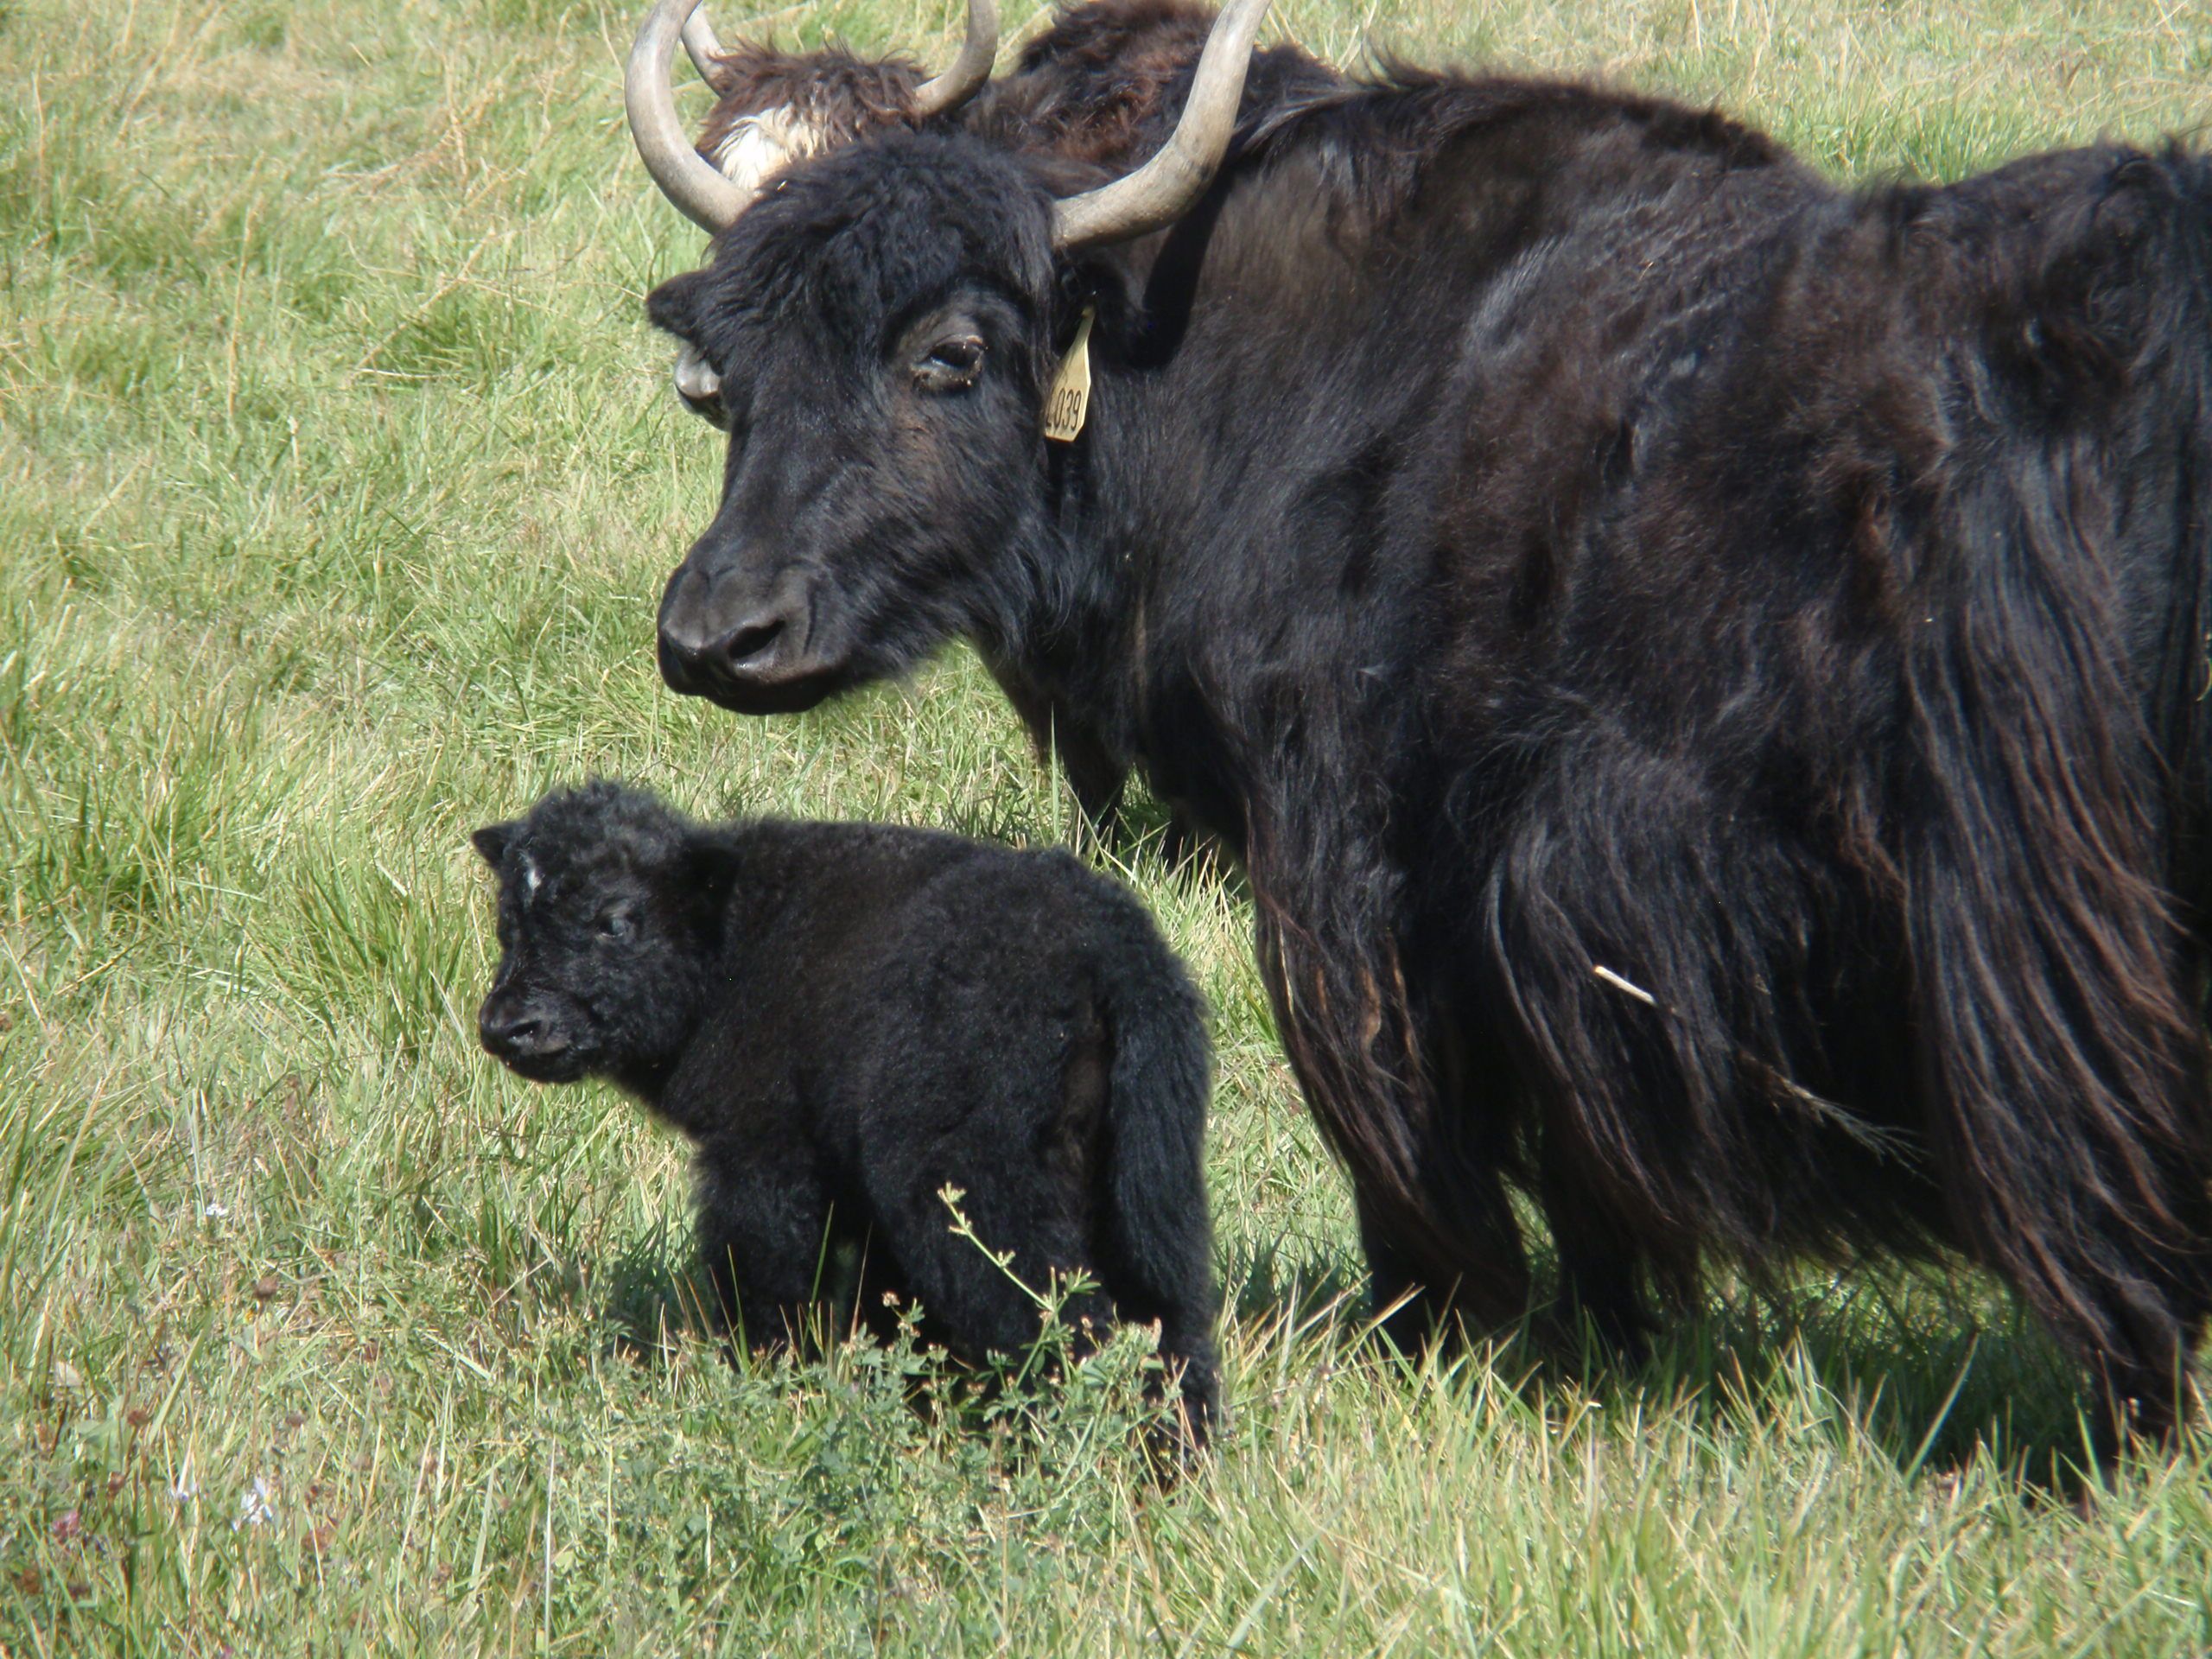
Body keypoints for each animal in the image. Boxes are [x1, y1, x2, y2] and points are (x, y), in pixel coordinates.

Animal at [473, 783, 1221, 1442]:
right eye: (509, 924)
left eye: (617, 921)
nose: (510, 1027)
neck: (729, 951)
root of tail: (1109, 956)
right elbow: (884, 1302)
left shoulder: (764, 1150)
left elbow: (763, 1267)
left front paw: (765, 1377)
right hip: (1148, 1171)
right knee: (1170, 1319)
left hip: (974, 1175)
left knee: (1054, 1315)